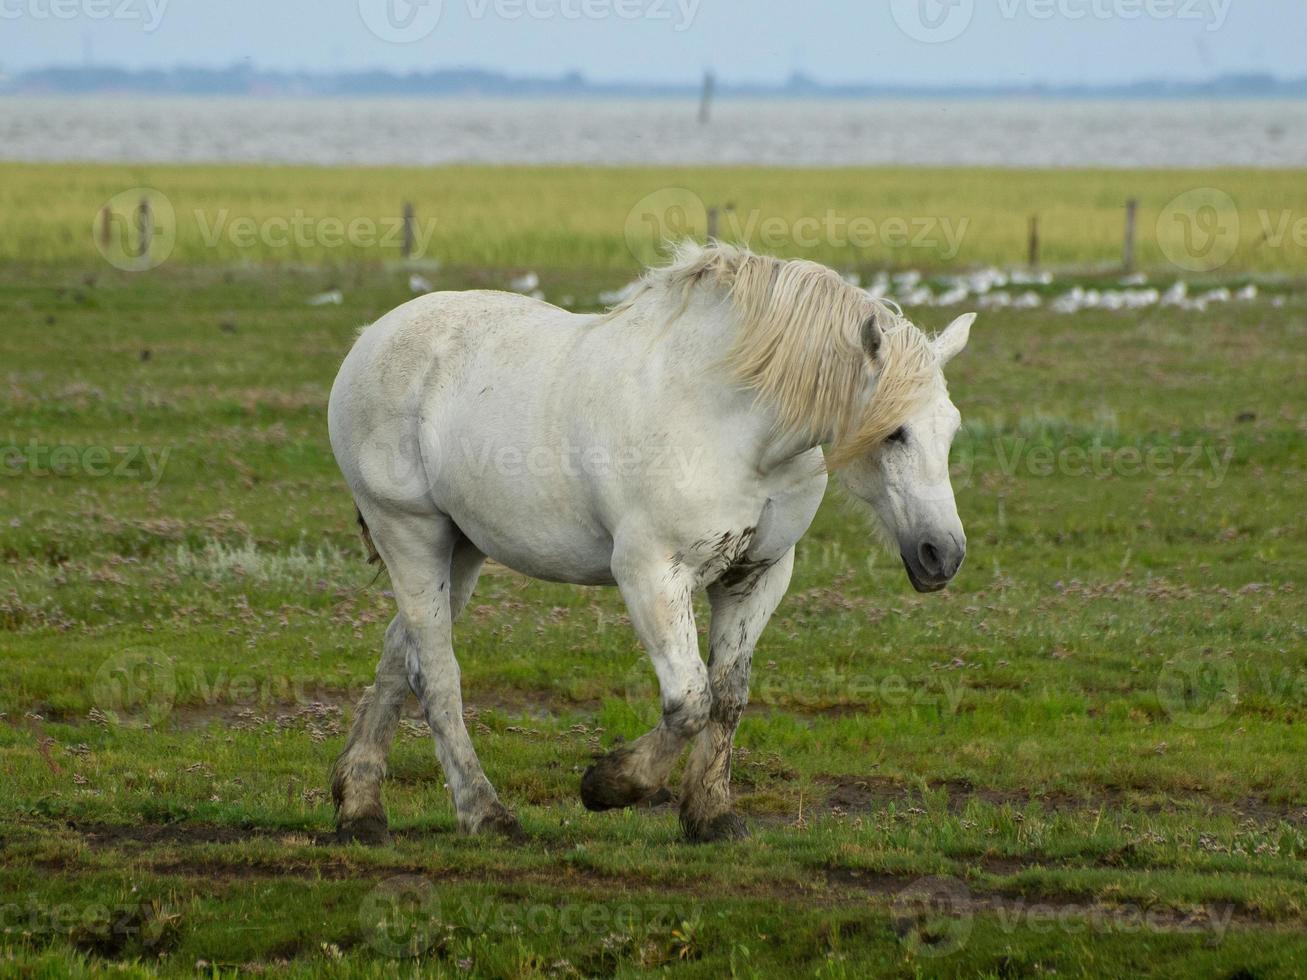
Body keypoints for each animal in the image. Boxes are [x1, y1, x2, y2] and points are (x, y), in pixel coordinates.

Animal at [331, 244, 977, 846]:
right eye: (894, 433)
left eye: (951, 428)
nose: (942, 554)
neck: (732, 424)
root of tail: (372, 338)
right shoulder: (651, 573)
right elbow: (690, 700)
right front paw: (610, 786)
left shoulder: (757, 576)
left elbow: (727, 697)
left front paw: (711, 816)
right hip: (410, 534)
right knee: (436, 674)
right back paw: (484, 814)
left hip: (460, 549)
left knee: (400, 654)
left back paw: (358, 807)